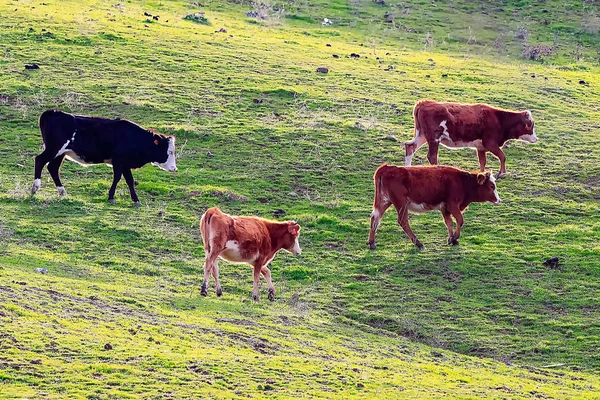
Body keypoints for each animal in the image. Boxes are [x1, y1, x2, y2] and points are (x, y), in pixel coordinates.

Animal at [31, 109, 176, 205]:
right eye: (169, 152)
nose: (174, 169)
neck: (133, 138)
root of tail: (53, 112)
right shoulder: (119, 161)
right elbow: (118, 178)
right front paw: (111, 197)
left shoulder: (125, 164)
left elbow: (129, 180)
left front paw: (136, 200)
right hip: (53, 149)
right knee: (40, 160)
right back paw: (35, 188)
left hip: (60, 153)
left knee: (53, 168)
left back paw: (62, 192)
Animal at [366, 164, 502, 248]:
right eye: (491, 186)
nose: (498, 200)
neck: (462, 182)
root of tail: (386, 168)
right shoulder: (452, 205)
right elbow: (460, 220)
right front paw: (455, 238)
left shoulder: (445, 208)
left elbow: (449, 222)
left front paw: (451, 239)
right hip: (401, 203)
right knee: (402, 221)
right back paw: (418, 243)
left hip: (384, 201)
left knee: (375, 218)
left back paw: (372, 243)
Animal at [404, 100, 540, 178]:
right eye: (531, 125)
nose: (536, 138)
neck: (499, 119)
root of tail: (423, 103)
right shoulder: (490, 143)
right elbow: (502, 156)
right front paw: (502, 173)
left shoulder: (481, 147)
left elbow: (482, 161)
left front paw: (482, 175)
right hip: (434, 138)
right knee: (432, 156)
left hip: (422, 135)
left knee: (410, 147)